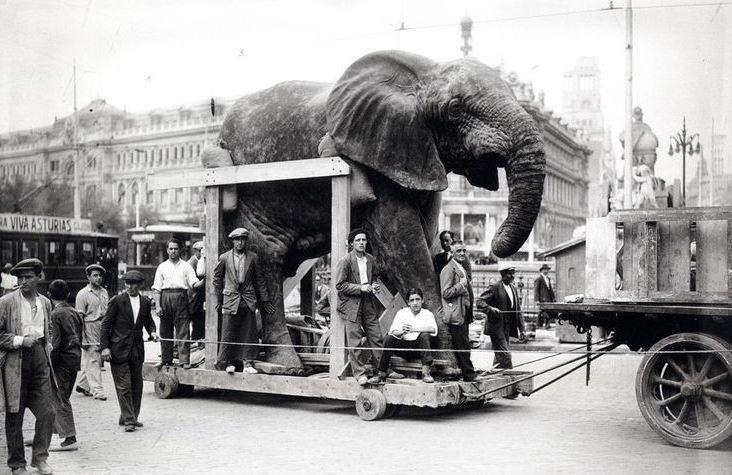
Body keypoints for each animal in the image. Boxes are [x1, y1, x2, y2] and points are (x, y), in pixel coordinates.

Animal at [203, 50, 548, 374]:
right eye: (454, 108)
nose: (489, 245)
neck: (422, 74)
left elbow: (419, 243)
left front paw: (406, 358)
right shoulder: (380, 160)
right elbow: (406, 250)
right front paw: (447, 368)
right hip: (254, 192)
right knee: (266, 261)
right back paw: (284, 366)